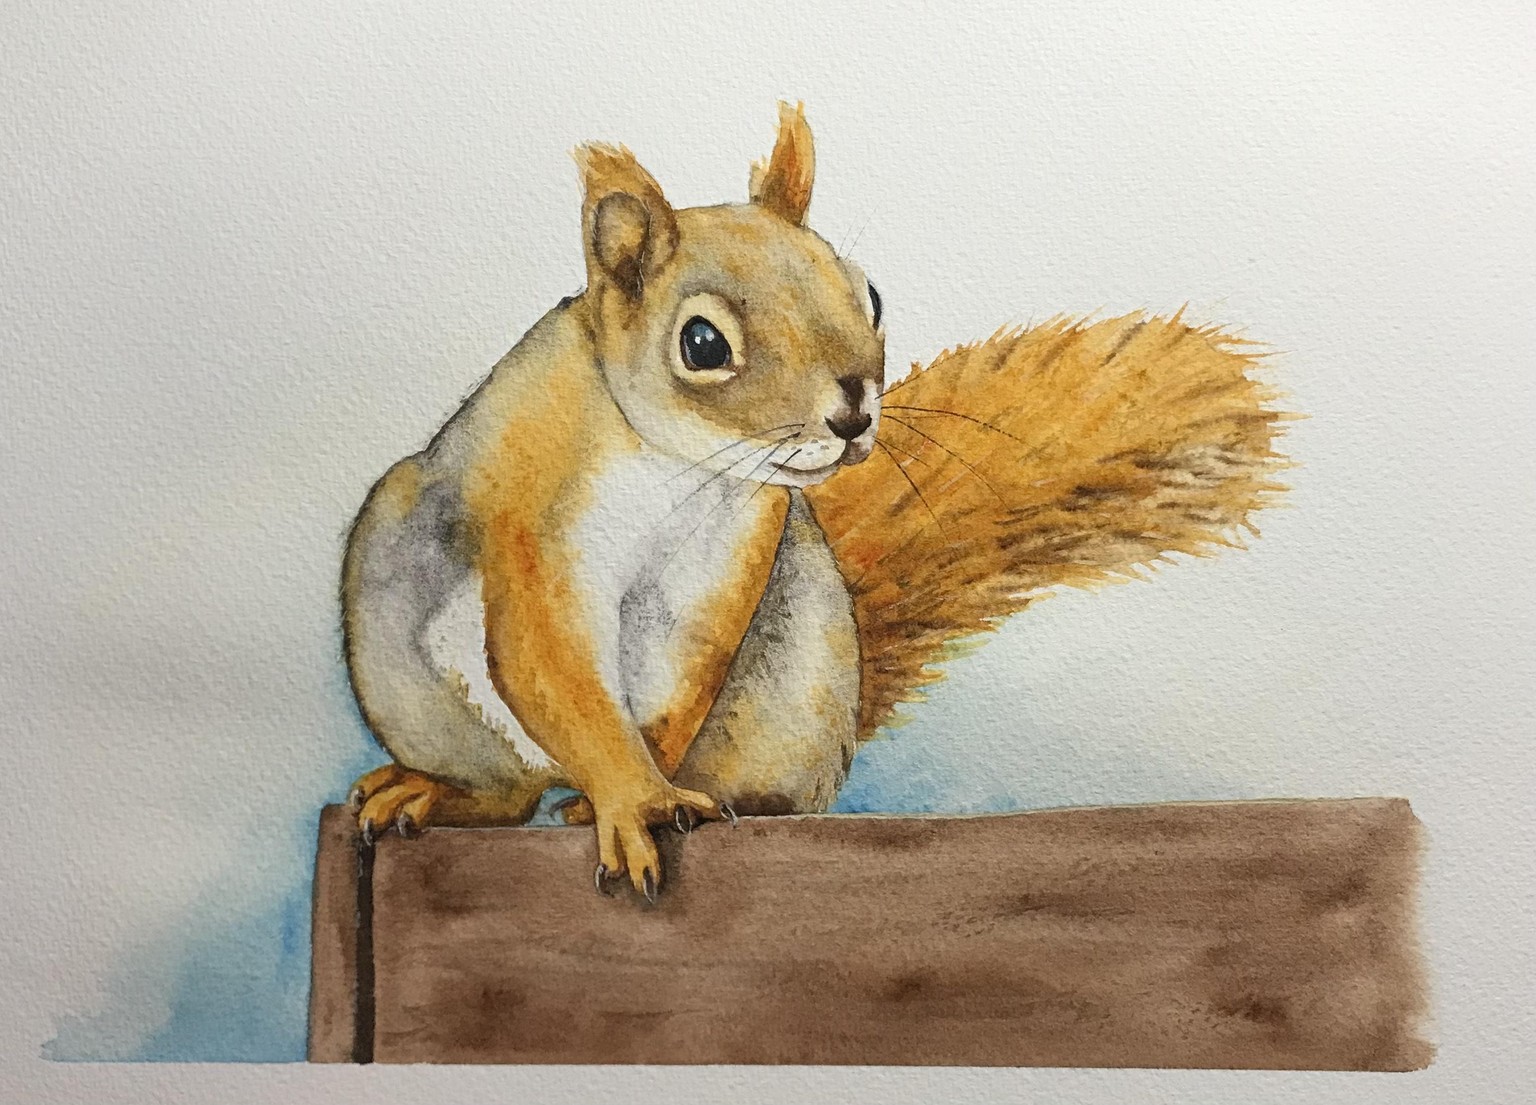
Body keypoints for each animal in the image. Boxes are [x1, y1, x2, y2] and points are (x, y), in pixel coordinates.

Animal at [341, 102, 1288, 900]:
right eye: (701, 342)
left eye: (869, 293)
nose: (855, 410)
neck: (679, 468)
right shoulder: (537, 512)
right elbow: (549, 659)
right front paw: (636, 799)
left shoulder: (735, 553)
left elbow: (687, 675)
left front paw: (649, 789)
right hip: (400, 641)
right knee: (507, 791)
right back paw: (448, 794)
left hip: (798, 690)